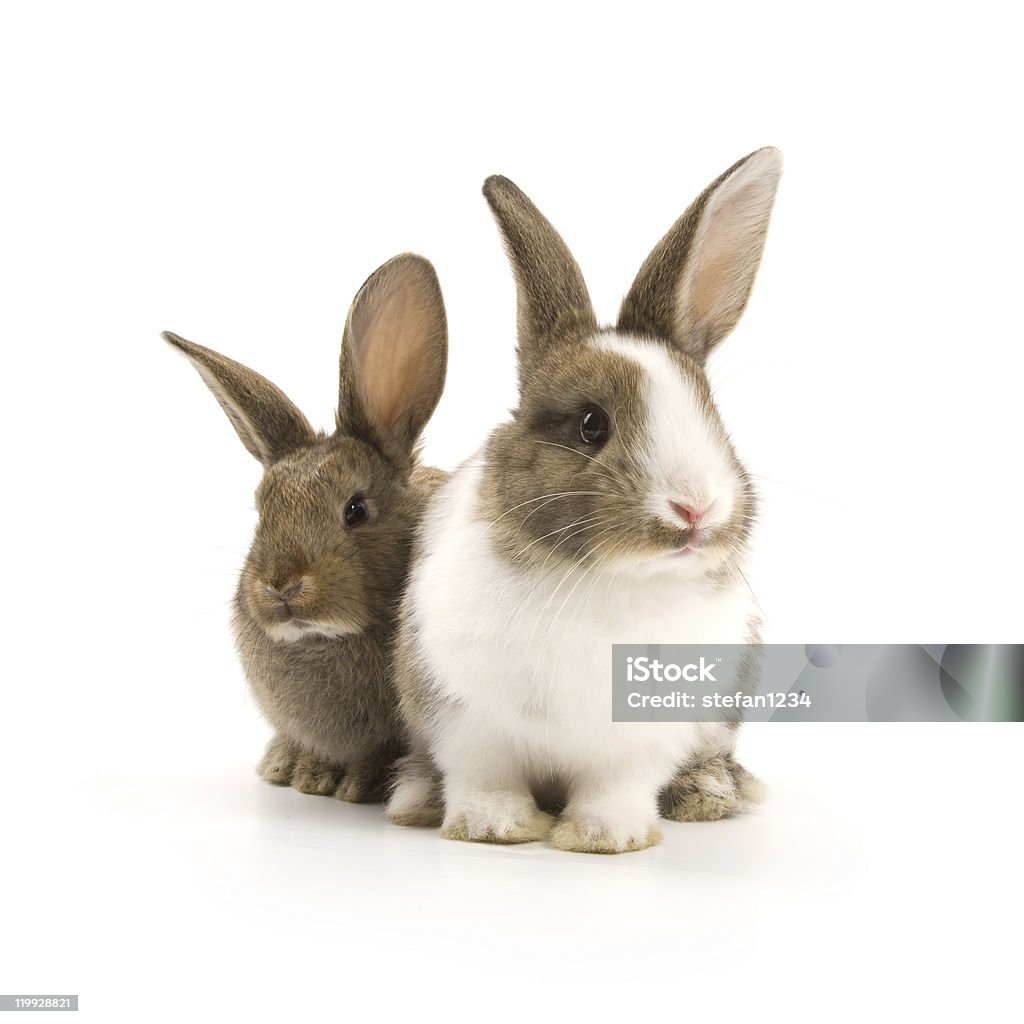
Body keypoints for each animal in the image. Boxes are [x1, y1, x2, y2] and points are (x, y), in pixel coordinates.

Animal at [387, 149, 778, 847]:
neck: (609, 581)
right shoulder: (464, 718)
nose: (696, 508)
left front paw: (605, 837)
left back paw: (707, 793)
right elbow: (485, 778)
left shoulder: (643, 740)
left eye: (711, 416)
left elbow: (616, 787)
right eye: (591, 424)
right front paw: (495, 827)